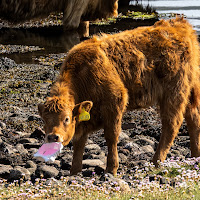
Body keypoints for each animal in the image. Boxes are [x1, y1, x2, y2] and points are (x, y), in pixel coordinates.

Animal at [38, 18, 200, 175]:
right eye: (44, 119)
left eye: (66, 119)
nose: (52, 137)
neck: (83, 75)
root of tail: (178, 24)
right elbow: (79, 142)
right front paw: (74, 171)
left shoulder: (114, 103)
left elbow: (111, 136)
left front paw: (111, 168)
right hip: (188, 91)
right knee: (193, 118)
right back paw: (195, 156)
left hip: (174, 92)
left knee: (172, 124)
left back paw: (156, 161)